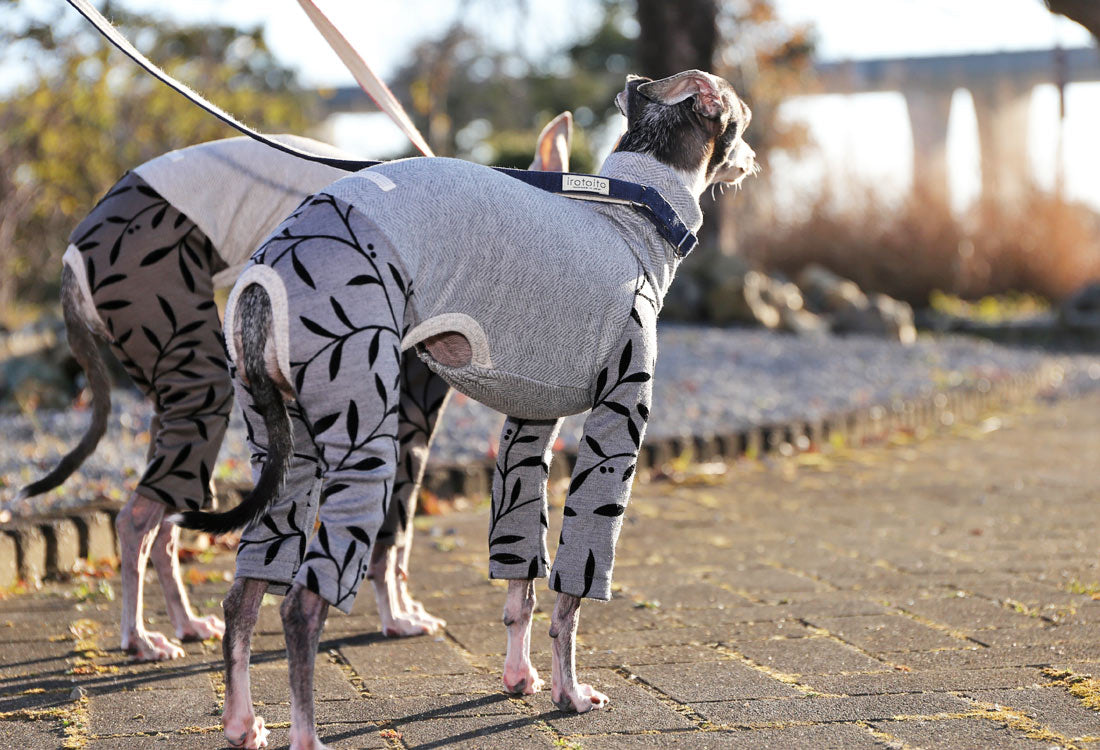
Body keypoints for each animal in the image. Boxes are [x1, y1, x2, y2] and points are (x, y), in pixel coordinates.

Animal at [10, 112, 576, 659]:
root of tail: (72, 257)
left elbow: (402, 528)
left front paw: (405, 607)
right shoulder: (410, 413)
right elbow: (394, 529)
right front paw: (396, 617)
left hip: (173, 392)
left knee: (166, 521)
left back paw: (186, 623)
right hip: (177, 336)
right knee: (135, 518)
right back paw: (140, 638)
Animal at [173, 67, 756, 743]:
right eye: (743, 116)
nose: (753, 160)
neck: (631, 219)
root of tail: (269, 267)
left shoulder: (527, 430)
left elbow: (520, 577)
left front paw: (519, 678)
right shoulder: (617, 426)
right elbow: (570, 594)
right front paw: (569, 693)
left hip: (287, 457)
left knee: (243, 596)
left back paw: (243, 723)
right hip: (365, 436)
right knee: (301, 605)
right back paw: (307, 736)